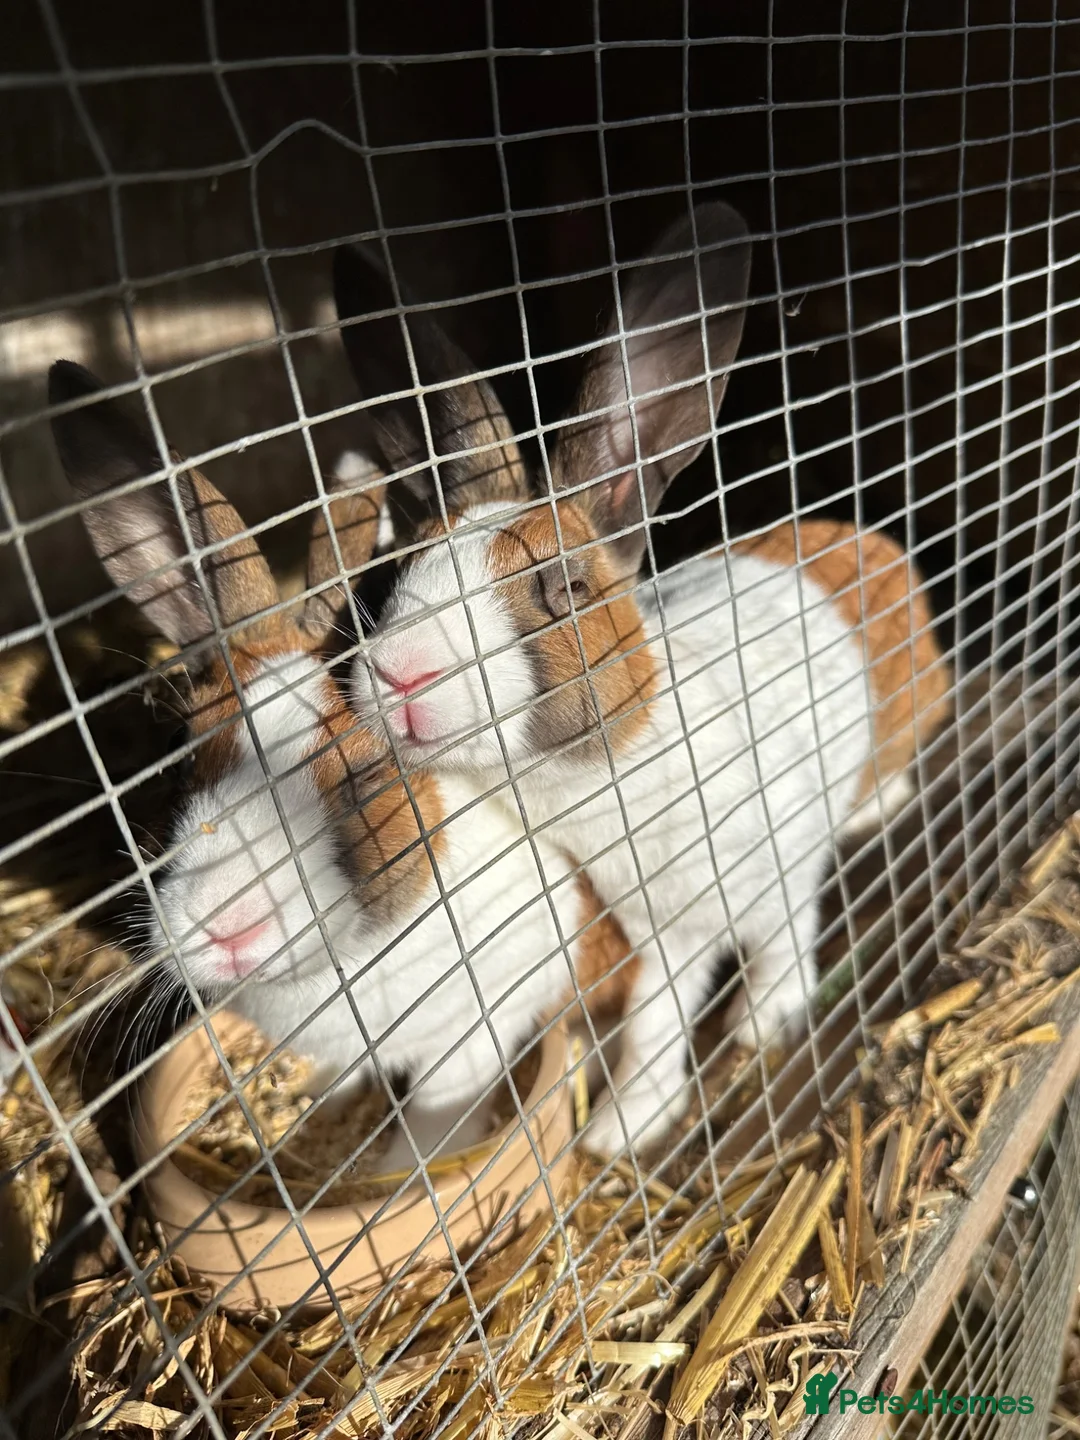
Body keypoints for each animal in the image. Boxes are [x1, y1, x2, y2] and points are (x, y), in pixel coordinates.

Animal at [47, 360, 636, 1170]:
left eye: (364, 778)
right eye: (176, 766)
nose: (227, 929)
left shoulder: (471, 1040)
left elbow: (434, 1123)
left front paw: (393, 1172)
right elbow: (339, 1079)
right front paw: (321, 1109)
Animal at [335, 202, 875, 1156]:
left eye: (564, 588)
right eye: (399, 572)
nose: (399, 673)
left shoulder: (708, 904)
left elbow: (685, 998)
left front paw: (628, 1127)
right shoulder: (644, 916)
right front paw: (618, 1119)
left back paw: (762, 1016)